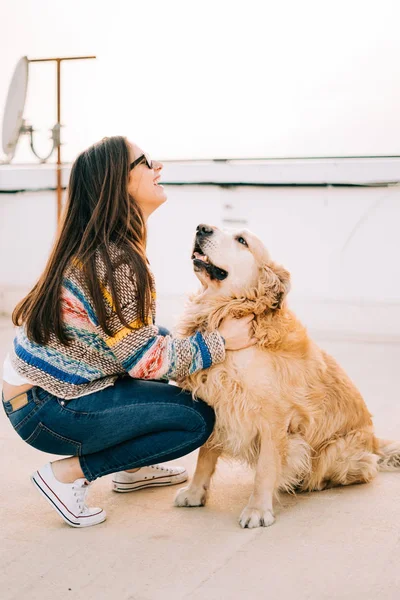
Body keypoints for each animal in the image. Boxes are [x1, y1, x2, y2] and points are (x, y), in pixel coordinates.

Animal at [173, 225, 398, 528]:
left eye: (242, 240)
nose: (201, 228)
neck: (229, 310)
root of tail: (374, 441)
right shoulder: (217, 404)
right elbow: (204, 457)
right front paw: (195, 492)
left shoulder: (274, 417)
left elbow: (265, 469)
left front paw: (257, 509)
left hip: (333, 450)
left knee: (362, 470)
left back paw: (314, 482)